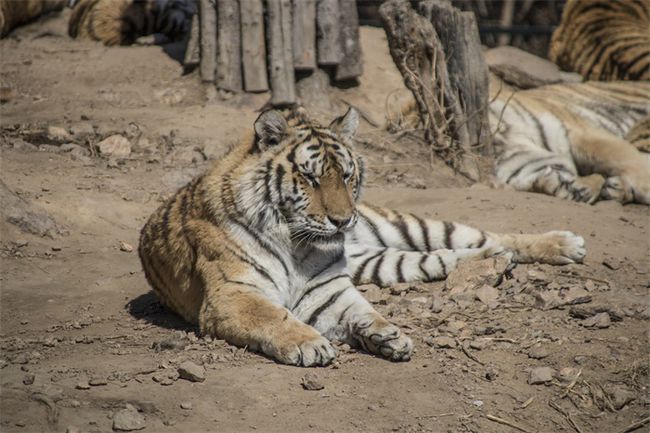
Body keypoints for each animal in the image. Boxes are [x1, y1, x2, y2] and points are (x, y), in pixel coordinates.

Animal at [139, 106, 584, 366]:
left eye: (347, 175)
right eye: (311, 178)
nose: (342, 221)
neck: (298, 246)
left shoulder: (329, 290)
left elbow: (364, 311)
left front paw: (387, 334)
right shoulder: (232, 295)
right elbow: (273, 316)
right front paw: (311, 344)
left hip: (410, 226)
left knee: (489, 235)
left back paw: (564, 244)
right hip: (385, 260)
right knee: (450, 256)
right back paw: (493, 263)